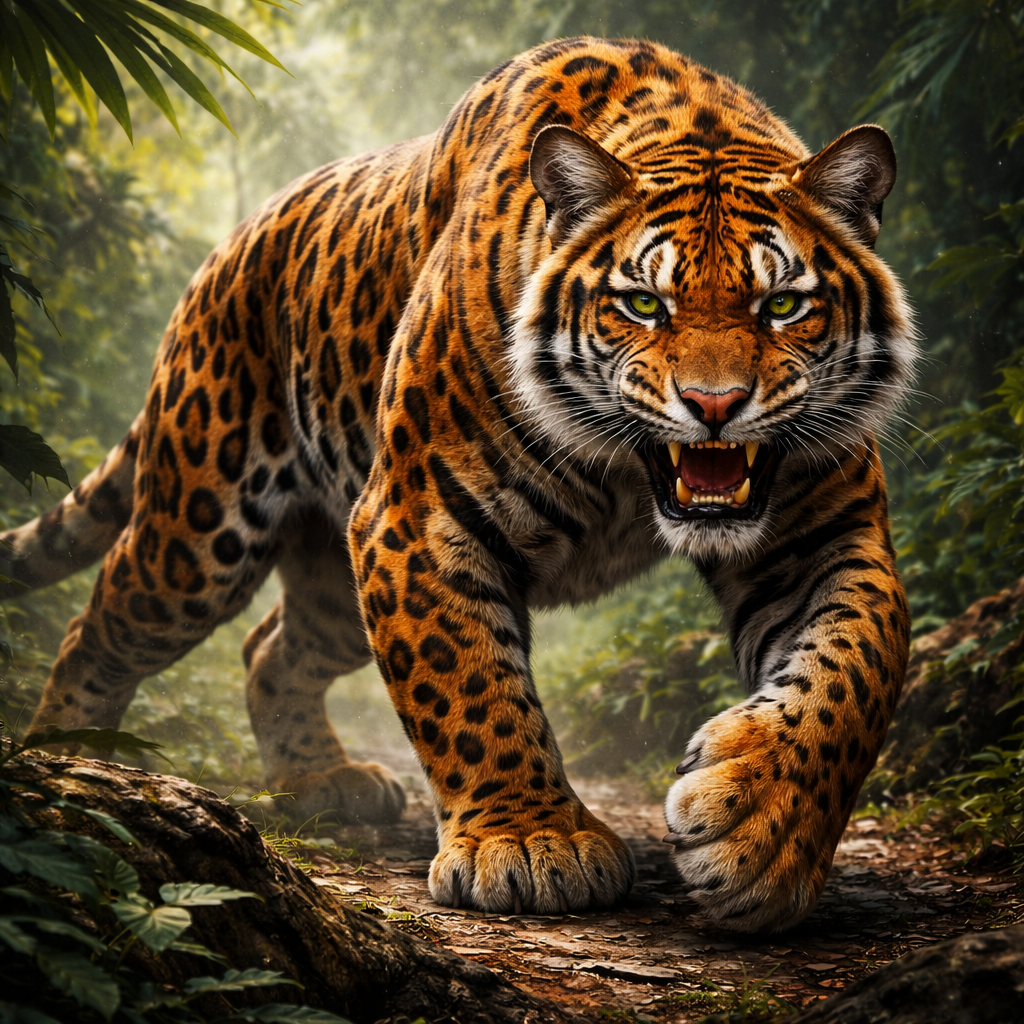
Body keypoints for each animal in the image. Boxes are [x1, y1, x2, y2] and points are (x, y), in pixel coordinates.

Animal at [3, 36, 914, 932]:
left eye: (784, 305)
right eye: (644, 304)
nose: (716, 404)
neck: (627, 478)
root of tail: (230, 245)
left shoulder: (825, 535)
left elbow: (857, 667)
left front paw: (762, 829)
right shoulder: (417, 521)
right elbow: (469, 685)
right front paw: (530, 842)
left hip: (331, 583)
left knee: (270, 649)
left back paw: (321, 784)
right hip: (199, 536)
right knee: (99, 622)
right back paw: (71, 764)